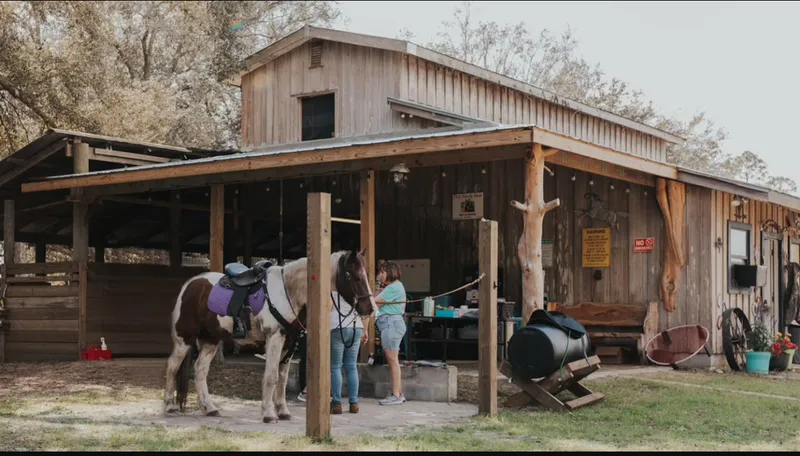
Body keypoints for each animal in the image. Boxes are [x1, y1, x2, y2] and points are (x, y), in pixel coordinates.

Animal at [164, 249, 376, 424]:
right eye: (354, 276)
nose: (371, 308)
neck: (289, 291)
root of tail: (190, 284)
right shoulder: (275, 338)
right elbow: (272, 376)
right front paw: (268, 414)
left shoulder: (290, 342)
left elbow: (282, 378)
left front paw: (283, 411)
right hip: (183, 340)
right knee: (172, 366)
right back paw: (169, 406)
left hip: (210, 340)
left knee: (200, 370)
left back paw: (209, 408)